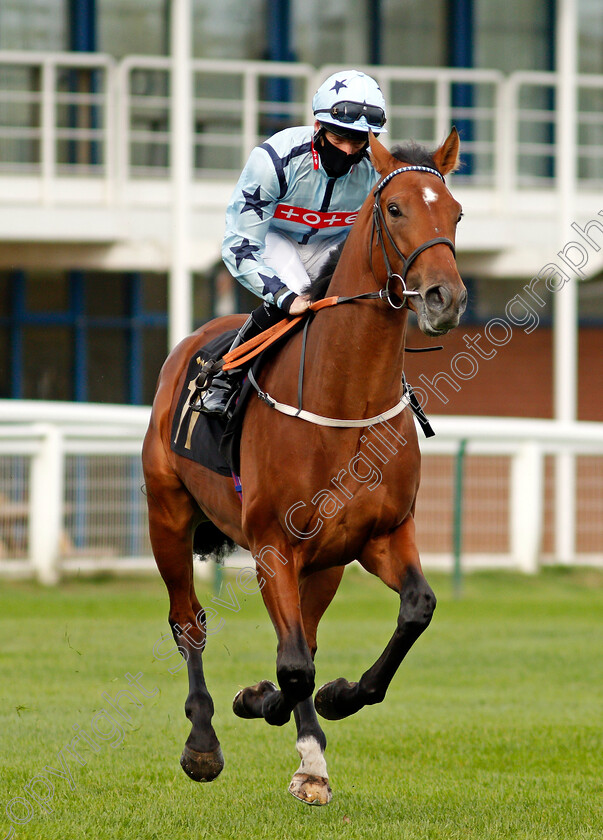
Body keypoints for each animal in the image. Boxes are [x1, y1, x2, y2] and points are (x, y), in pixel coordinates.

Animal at [143, 128, 468, 804]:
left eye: (455, 212)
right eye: (394, 208)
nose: (444, 298)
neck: (345, 402)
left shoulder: (379, 535)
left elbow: (413, 610)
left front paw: (334, 699)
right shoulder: (273, 544)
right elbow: (292, 664)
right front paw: (292, 736)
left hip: (325, 563)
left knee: (303, 635)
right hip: (168, 515)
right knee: (189, 623)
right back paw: (203, 741)